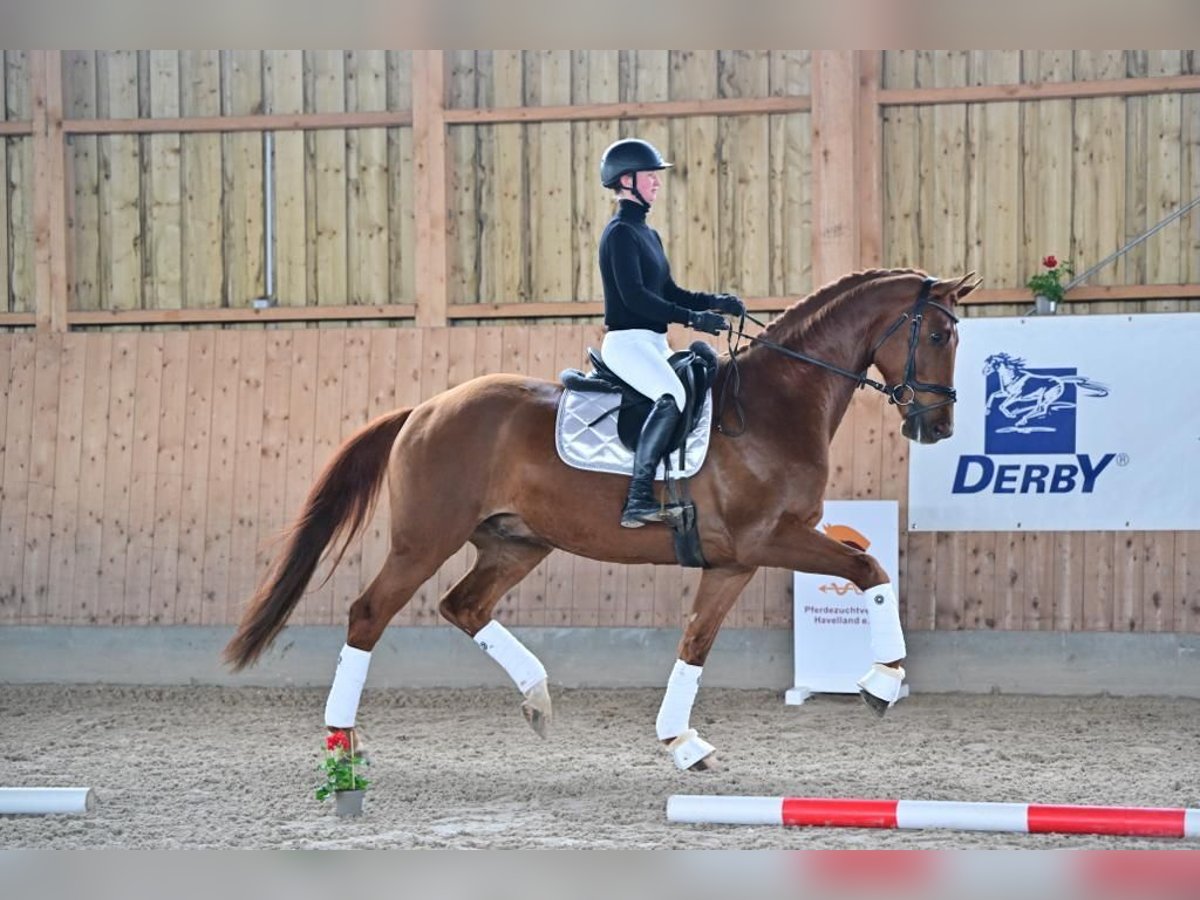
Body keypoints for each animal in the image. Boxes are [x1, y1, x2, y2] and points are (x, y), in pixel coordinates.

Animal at [223, 270, 974, 777]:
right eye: (937, 334)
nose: (935, 426)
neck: (775, 406)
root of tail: (425, 409)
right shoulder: (773, 539)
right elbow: (868, 569)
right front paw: (880, 682)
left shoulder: (734, 561)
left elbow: (696, 642)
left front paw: (682, 742)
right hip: (424, 540)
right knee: (369, 614)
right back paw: (343, 745)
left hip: (517, 543)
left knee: (463, 606)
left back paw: (536, 698)